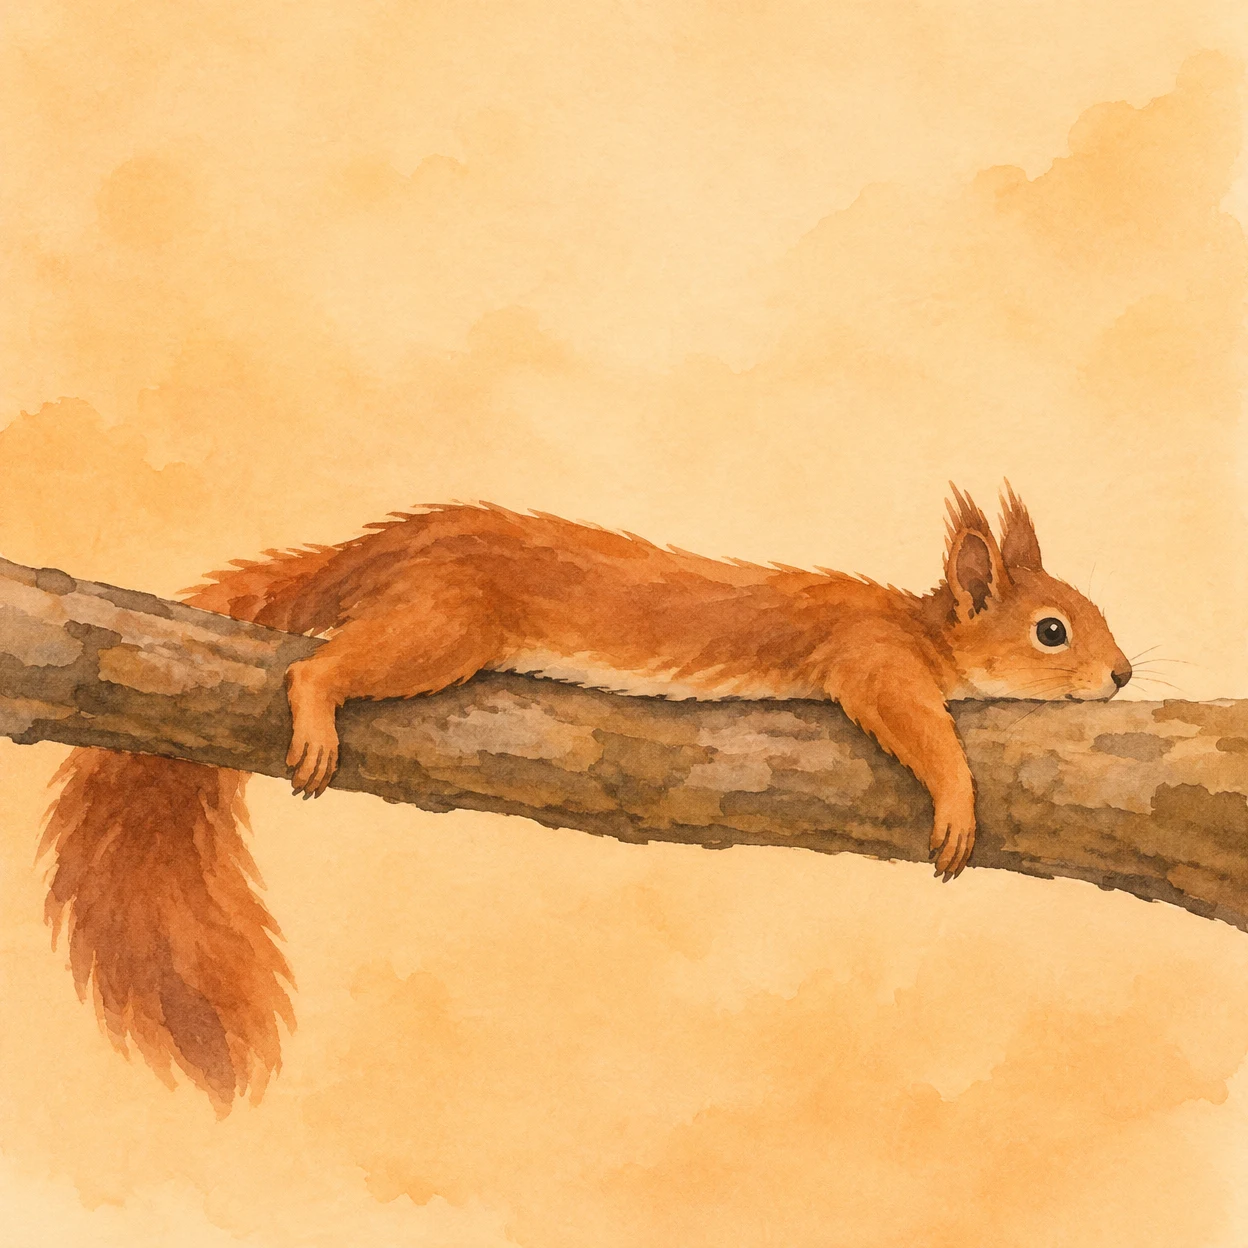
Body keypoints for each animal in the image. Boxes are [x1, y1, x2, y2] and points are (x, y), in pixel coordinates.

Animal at [40, 483, 1130, 1111]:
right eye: (1052, 631)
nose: (1122, 675)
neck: (924, 627)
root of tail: (387, 547)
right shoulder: (867, 654)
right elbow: (912, 719)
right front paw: (956, 795)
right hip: (446, 622)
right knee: (332, 665)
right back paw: (315, 702)